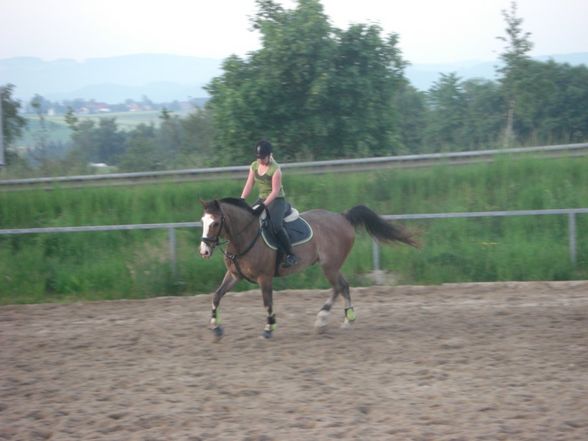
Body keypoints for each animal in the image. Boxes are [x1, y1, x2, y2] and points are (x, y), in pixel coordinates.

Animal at [200, 198, 416, 338]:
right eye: (203, 221)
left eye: (216, 223)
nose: (204, 251)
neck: (244, 237)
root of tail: (342, 217)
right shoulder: (234, 275)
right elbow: (216, 295)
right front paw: (215, 327)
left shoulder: (265, 277)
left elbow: (267, 302)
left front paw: (269, 328)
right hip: (331, 266)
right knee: (342, 286)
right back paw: (342, 320)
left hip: (329, 266)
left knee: (339, 286)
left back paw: (326, 319)